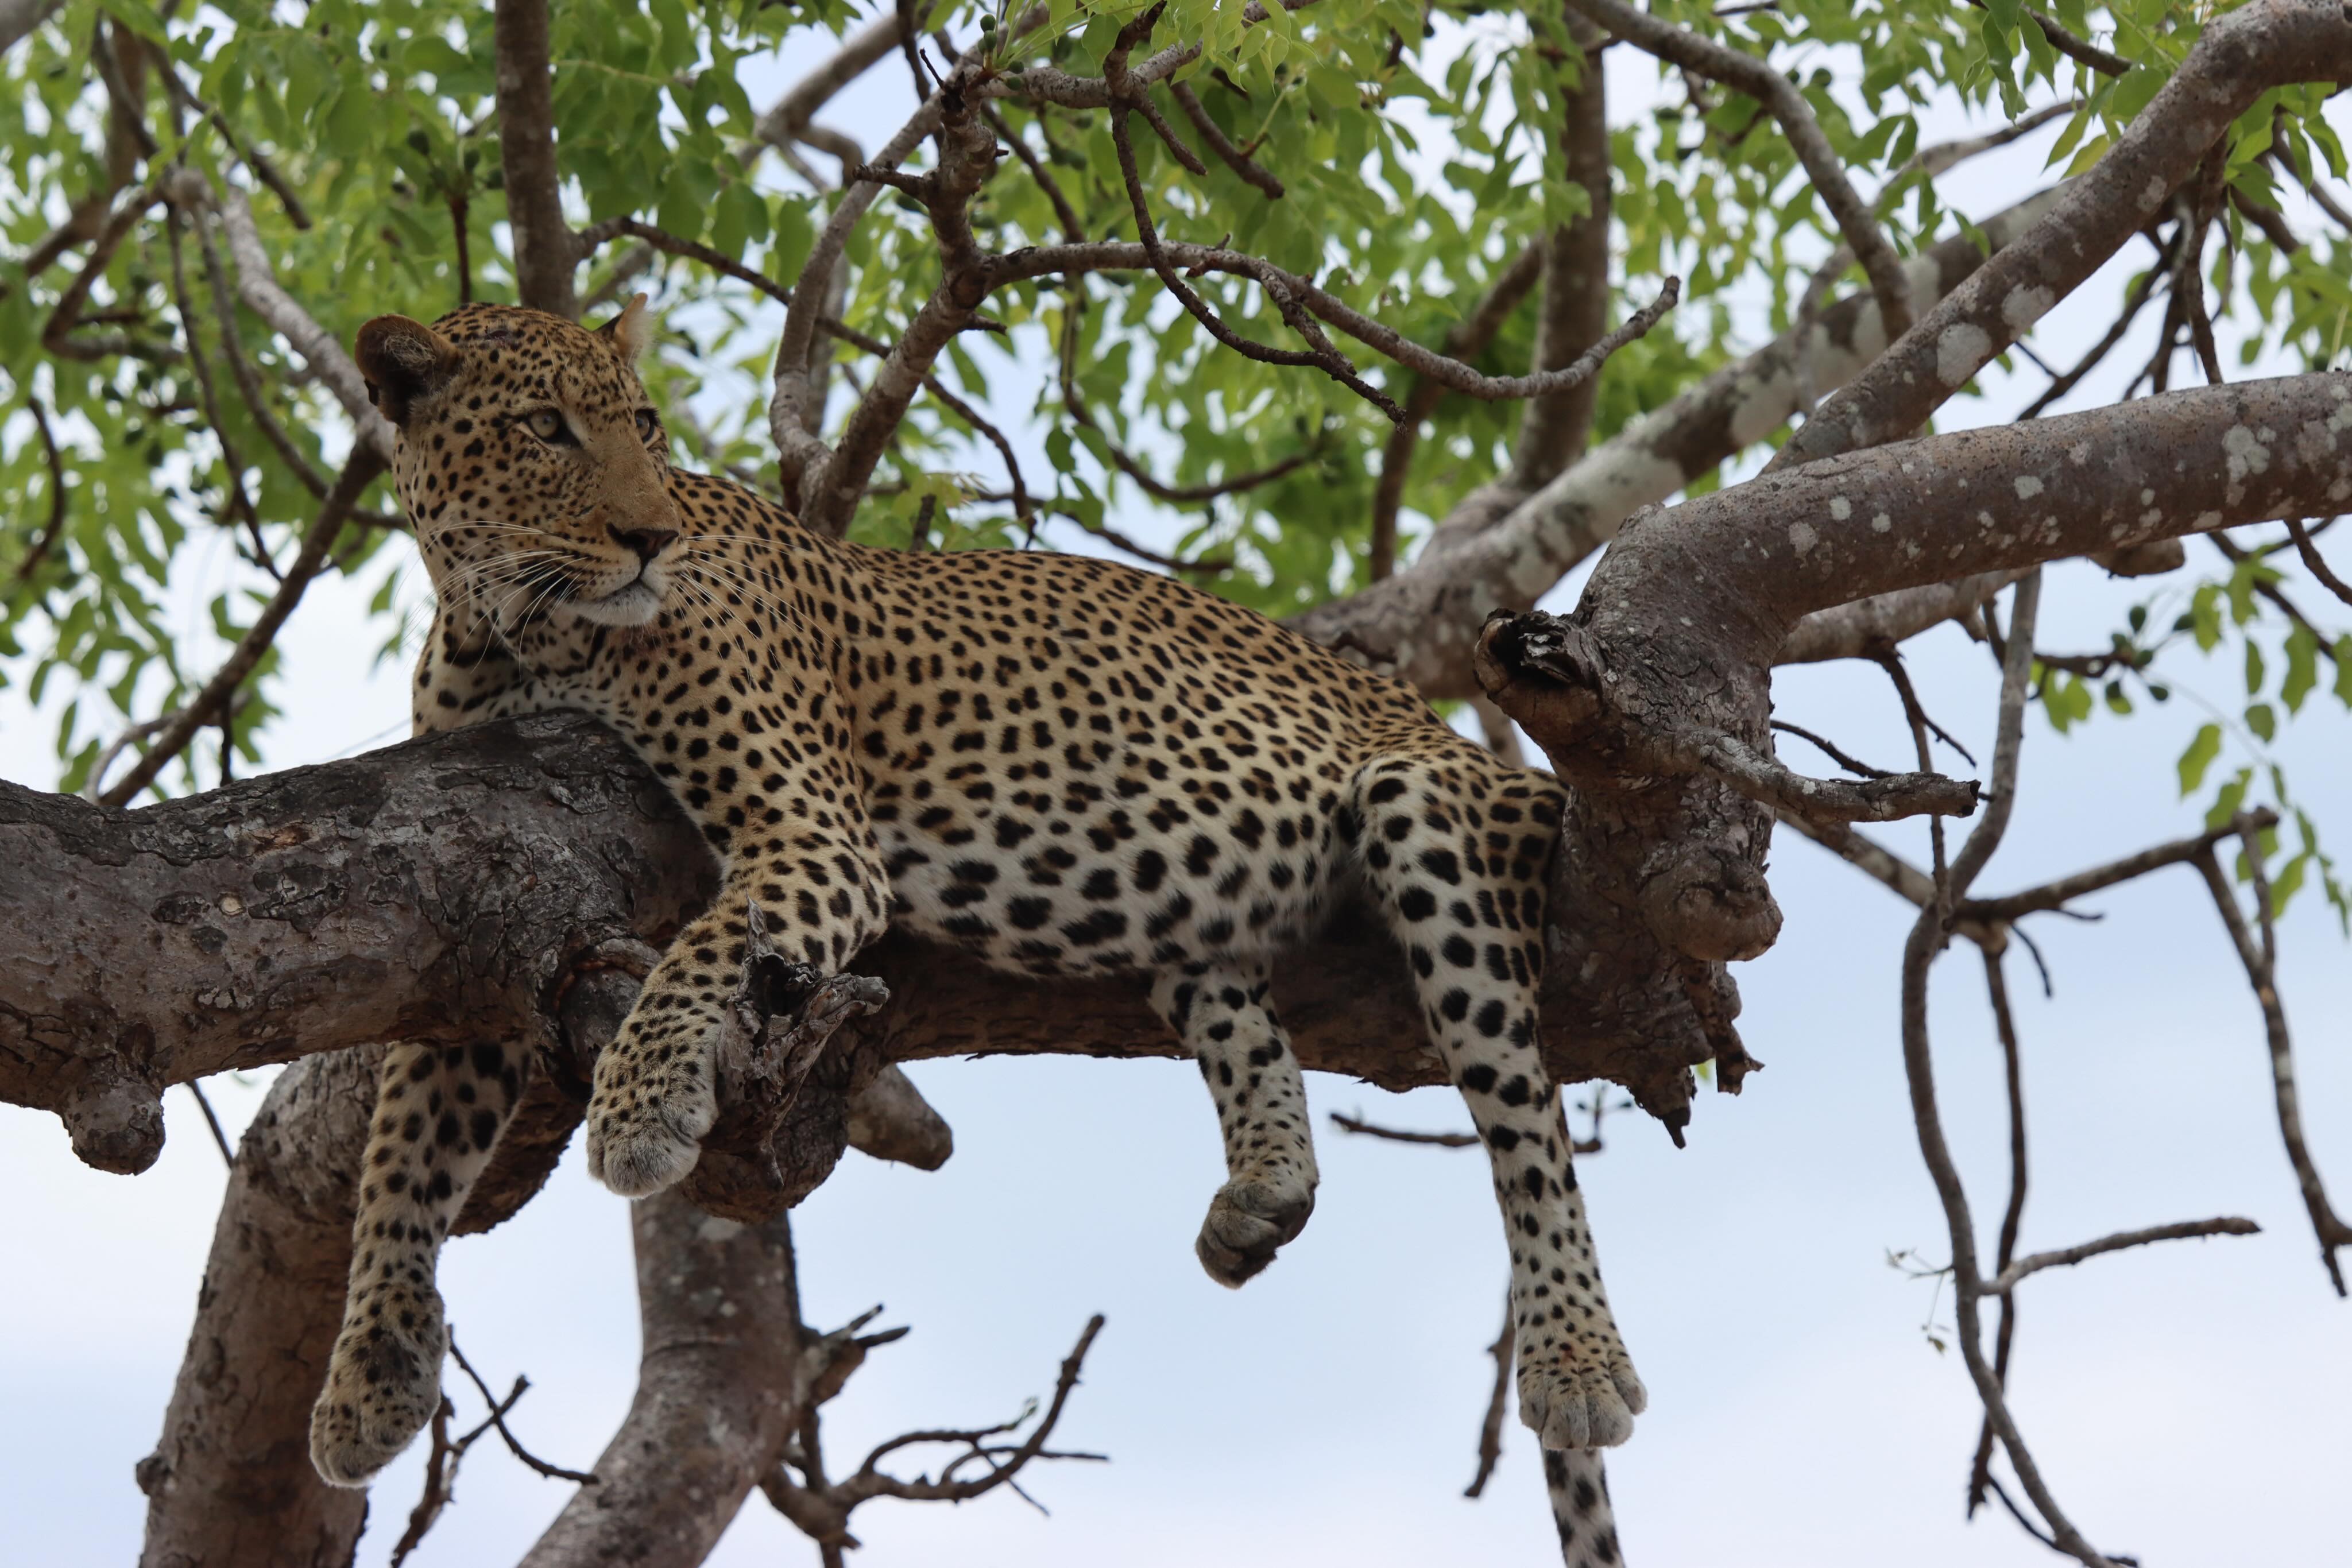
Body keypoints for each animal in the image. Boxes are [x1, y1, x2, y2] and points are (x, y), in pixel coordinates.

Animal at [306, 296, 1647, 1496]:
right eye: (545, 429)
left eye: (640, 423)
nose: (650, 539)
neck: (505, 627)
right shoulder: (489, 933)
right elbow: (401, 1150)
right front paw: (368, 1372)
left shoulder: (813, 832)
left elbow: (701, 952)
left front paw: (638, 1109)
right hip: (1184, 905)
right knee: (1246, 1016)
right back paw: (1262, 1189)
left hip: (1425, 809)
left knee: (1526, 1121)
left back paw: (1577, 1359)